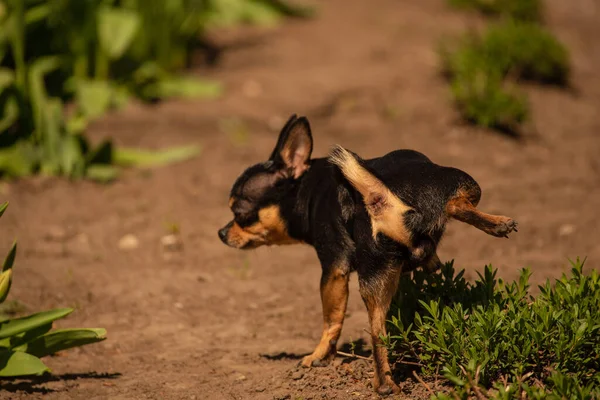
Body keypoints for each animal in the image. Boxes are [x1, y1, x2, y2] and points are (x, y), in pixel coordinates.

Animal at [218, 114, 516, 396]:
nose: (221, 232)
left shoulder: (332, 269)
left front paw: (318, 356)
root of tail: (379, 196)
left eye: (240, 214)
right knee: (378, 332)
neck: (307, 189)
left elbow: (331, 321)